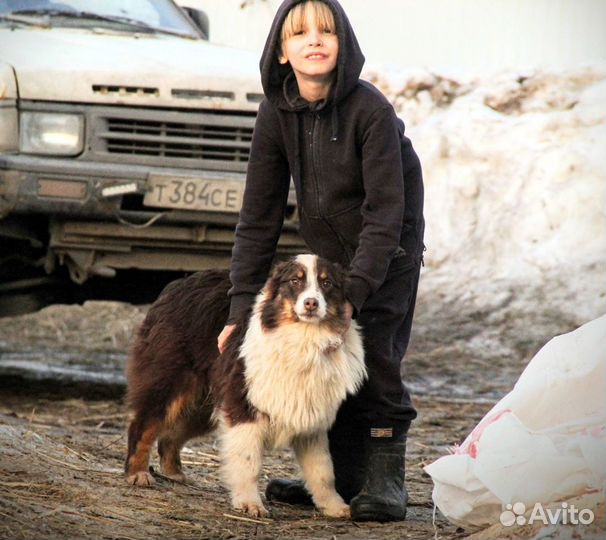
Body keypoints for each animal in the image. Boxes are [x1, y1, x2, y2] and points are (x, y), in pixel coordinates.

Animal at [126, 256, 368, 520]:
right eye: (295, 281)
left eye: (326, 283)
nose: (311, 303)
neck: (305, 338)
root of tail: (177, 284)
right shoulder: (244, 406)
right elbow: (249, 462)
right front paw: (249, 503)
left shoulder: (312, 418)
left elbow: (323, 470)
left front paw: (334, 506)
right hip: (170, 383)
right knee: (143, 426)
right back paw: (137, 473)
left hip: (205, 405)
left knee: (170, 435)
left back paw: (173, 472)